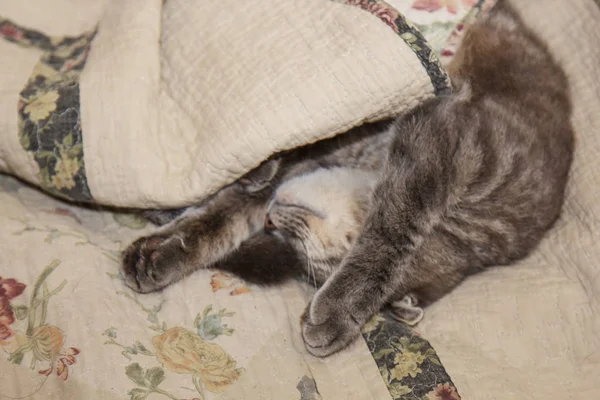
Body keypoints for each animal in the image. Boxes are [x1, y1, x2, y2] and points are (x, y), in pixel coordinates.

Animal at [120, 0, 572, 356]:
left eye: (306, 254)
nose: (271, 221)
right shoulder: (446, 141)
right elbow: (390, 231)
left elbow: (223, 221)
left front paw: (162, 250)